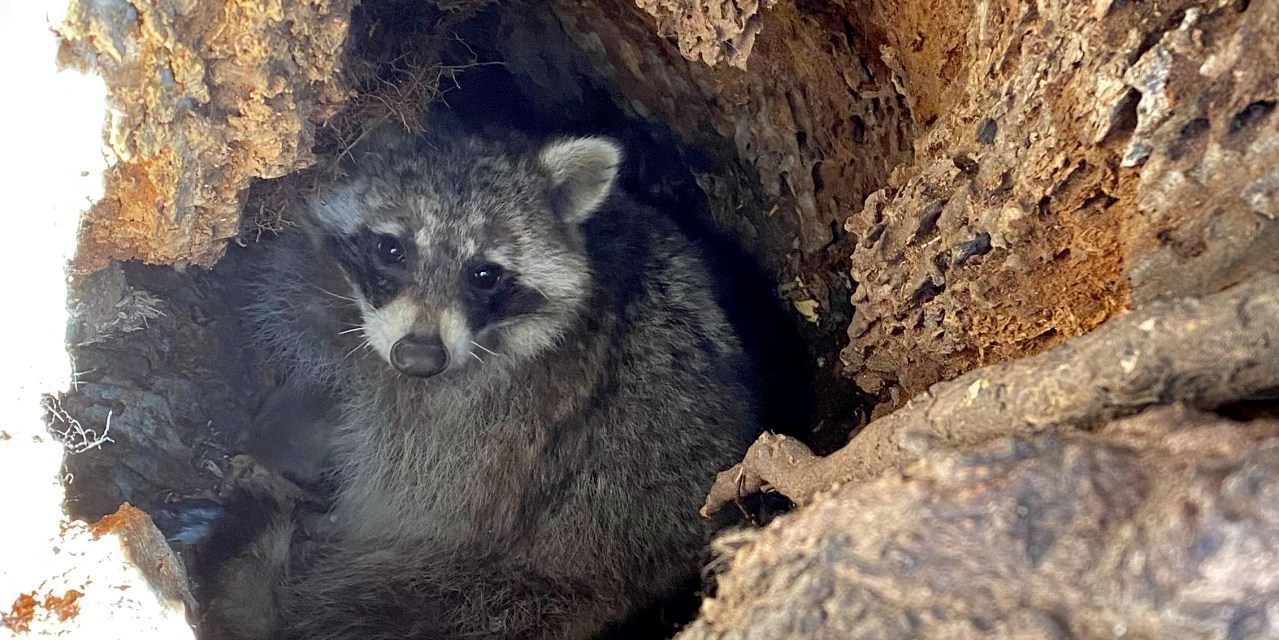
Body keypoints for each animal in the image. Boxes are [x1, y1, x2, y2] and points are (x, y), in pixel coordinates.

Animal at [216, 127, 759, 639]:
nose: (420, 358)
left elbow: (413, 503)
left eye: (485, 274)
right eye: (391, 249)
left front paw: (324, 517)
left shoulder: (500, 419)